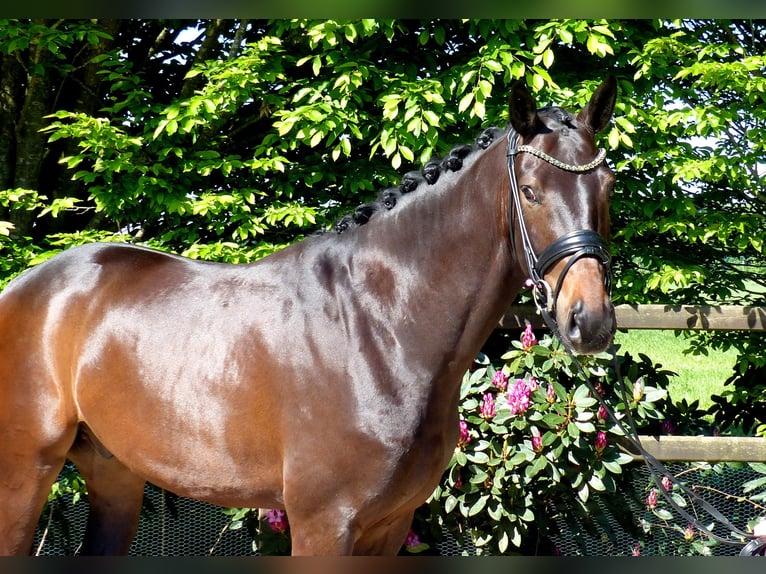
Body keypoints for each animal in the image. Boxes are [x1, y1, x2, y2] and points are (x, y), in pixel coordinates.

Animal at [0, 77, 616, 560]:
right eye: (531, 192)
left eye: (606, 186)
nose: (590, 321)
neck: (381, 328)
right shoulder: (324, 524)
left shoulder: (389, 526)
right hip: (24, 472)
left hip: (116, 474)